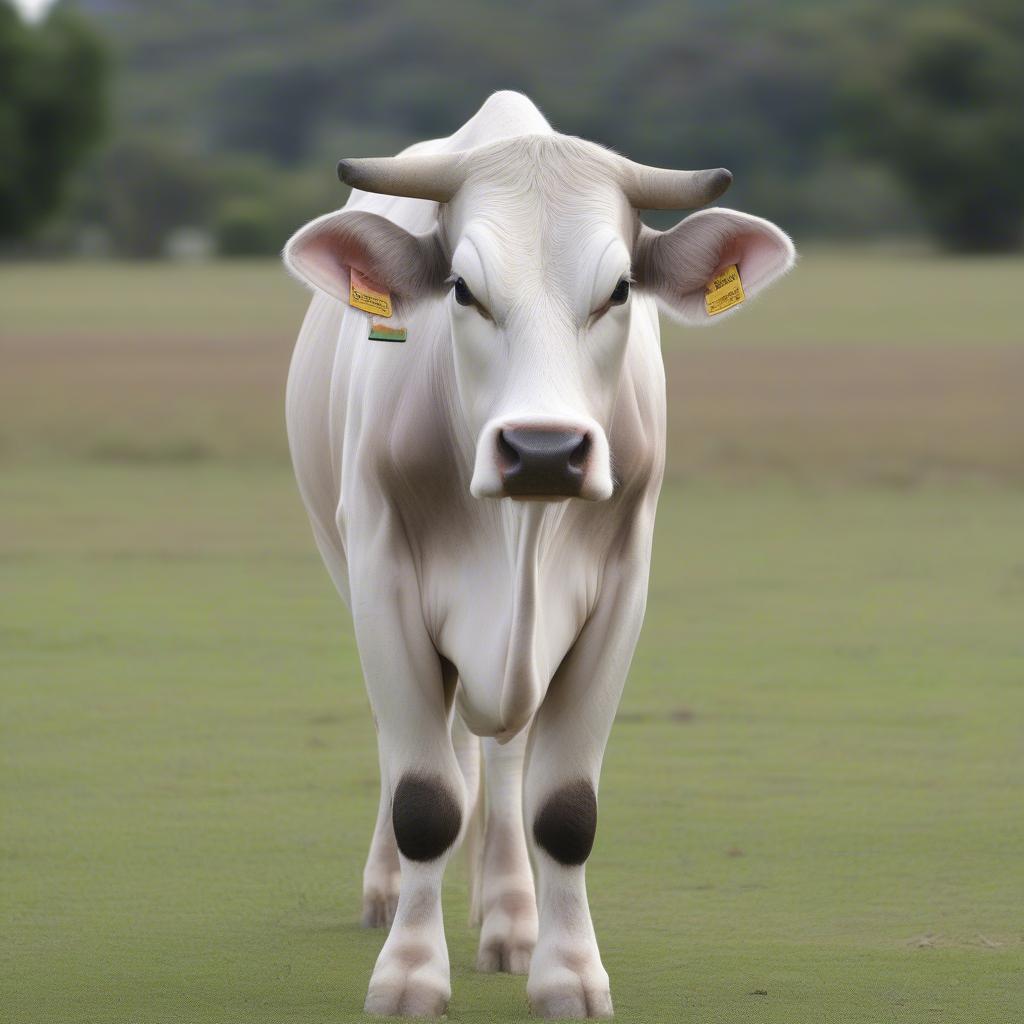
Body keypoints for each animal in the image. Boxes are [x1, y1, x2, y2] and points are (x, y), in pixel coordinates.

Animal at [284, 92, 794, 1019]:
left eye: (619, 288)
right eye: (463, 288)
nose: (545, 451)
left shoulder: (620, 593)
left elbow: (562, 807)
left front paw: (566, 972)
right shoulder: (380, 577)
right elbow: (423, 799)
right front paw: (410, 974)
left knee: (501, 752)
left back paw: (509, 917)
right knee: (427, 751)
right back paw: (391, 891)